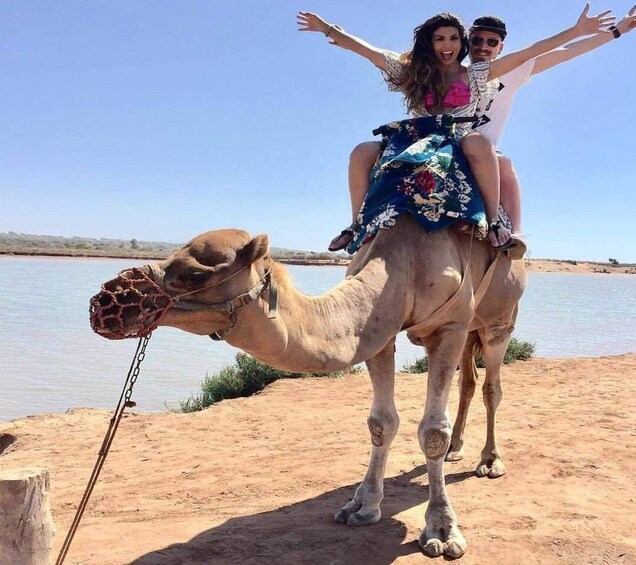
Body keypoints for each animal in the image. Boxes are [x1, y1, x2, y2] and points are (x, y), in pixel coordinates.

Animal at [90, 214, 528, 556]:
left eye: (195, 273)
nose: (106, 302)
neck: (403, 264)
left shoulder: (449, 326)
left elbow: (431, 431)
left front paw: (441, 530)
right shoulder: (378, 333)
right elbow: (381, 422)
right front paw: (362, 507)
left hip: (498, 320)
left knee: (491, 385)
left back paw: (489, 461)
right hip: (472, 329)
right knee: (469, 380)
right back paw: (457, 450)